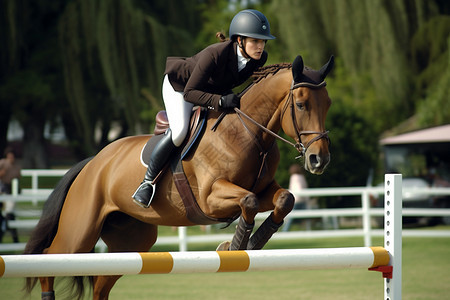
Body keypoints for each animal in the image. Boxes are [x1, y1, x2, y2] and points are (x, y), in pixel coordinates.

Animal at [24, 54, 334, 300]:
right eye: (302, 104)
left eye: (328, 104)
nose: (319, 160)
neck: (248, 134)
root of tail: (93, 163)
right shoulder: (210, 197)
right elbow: (248, 201)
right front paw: (234, 246)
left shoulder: (265, 188)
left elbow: (285, 199)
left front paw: (251, 243)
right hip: (80, 232)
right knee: (49, 258)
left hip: (131, 241)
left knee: (101, 284)